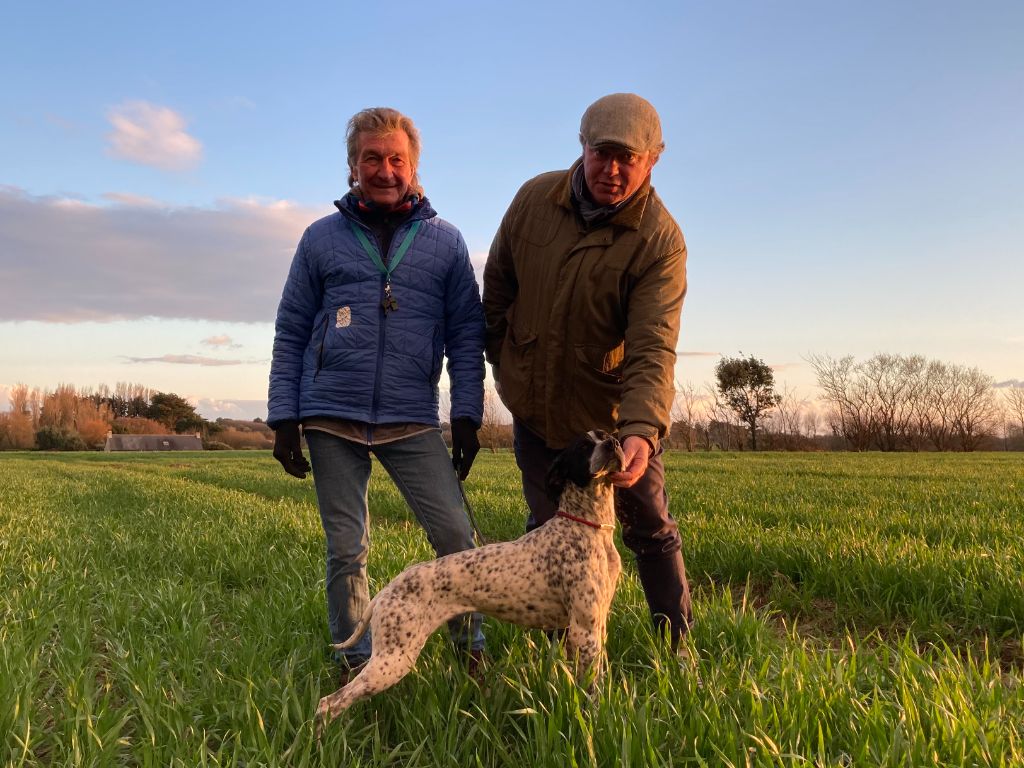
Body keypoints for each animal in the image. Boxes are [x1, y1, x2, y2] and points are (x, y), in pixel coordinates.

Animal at [317, 434, 622, 733]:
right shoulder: (583, 631)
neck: (587, 528)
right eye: (583, 446)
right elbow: (591, 693)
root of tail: (385, 593)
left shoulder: (597, 627)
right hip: (393, 659)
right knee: (329, 703)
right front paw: (595, 723)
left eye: (607, 436)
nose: (614, 444)